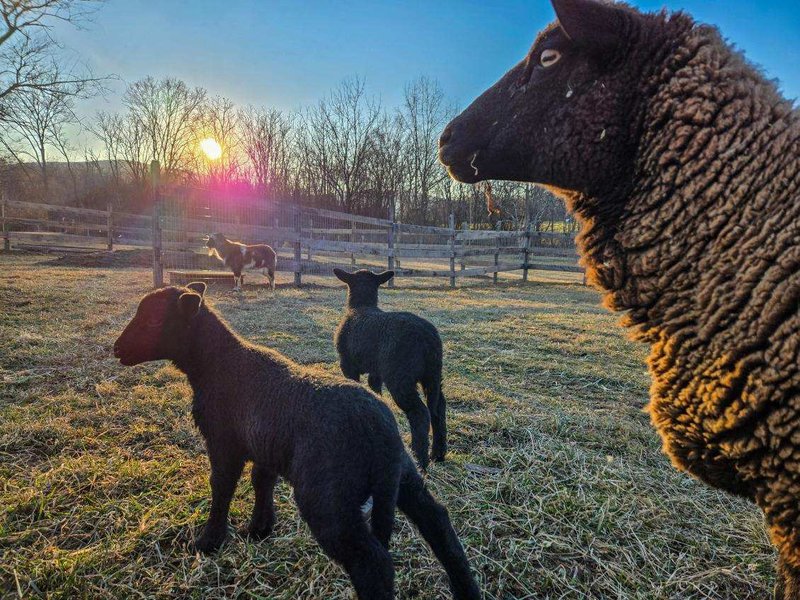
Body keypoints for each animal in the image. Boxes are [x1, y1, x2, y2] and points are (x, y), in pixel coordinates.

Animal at [333, 268, 447, 471]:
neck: (361, 306)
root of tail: (429, 338)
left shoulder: (347, 365)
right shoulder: (376, 371)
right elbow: (374, 389)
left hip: (400, 377)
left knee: (420, 412)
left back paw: (420, 460)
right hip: (433, 375)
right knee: (439, 407)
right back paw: (438, 453)